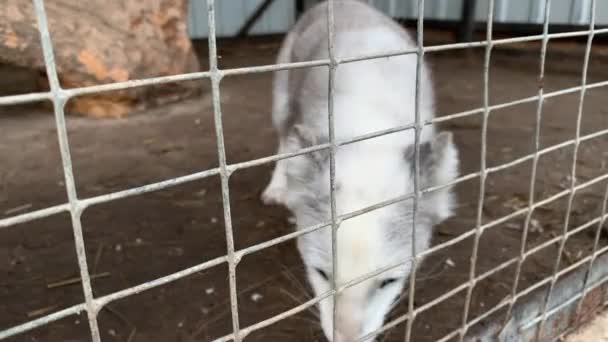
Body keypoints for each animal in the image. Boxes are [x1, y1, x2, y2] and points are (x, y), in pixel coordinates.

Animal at [260, 1, 456, 340]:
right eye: (321, 273)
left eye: (389, 282)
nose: (346, 339)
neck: (370, 128)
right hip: (283, 97)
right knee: (284, 142)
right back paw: (277, 187)